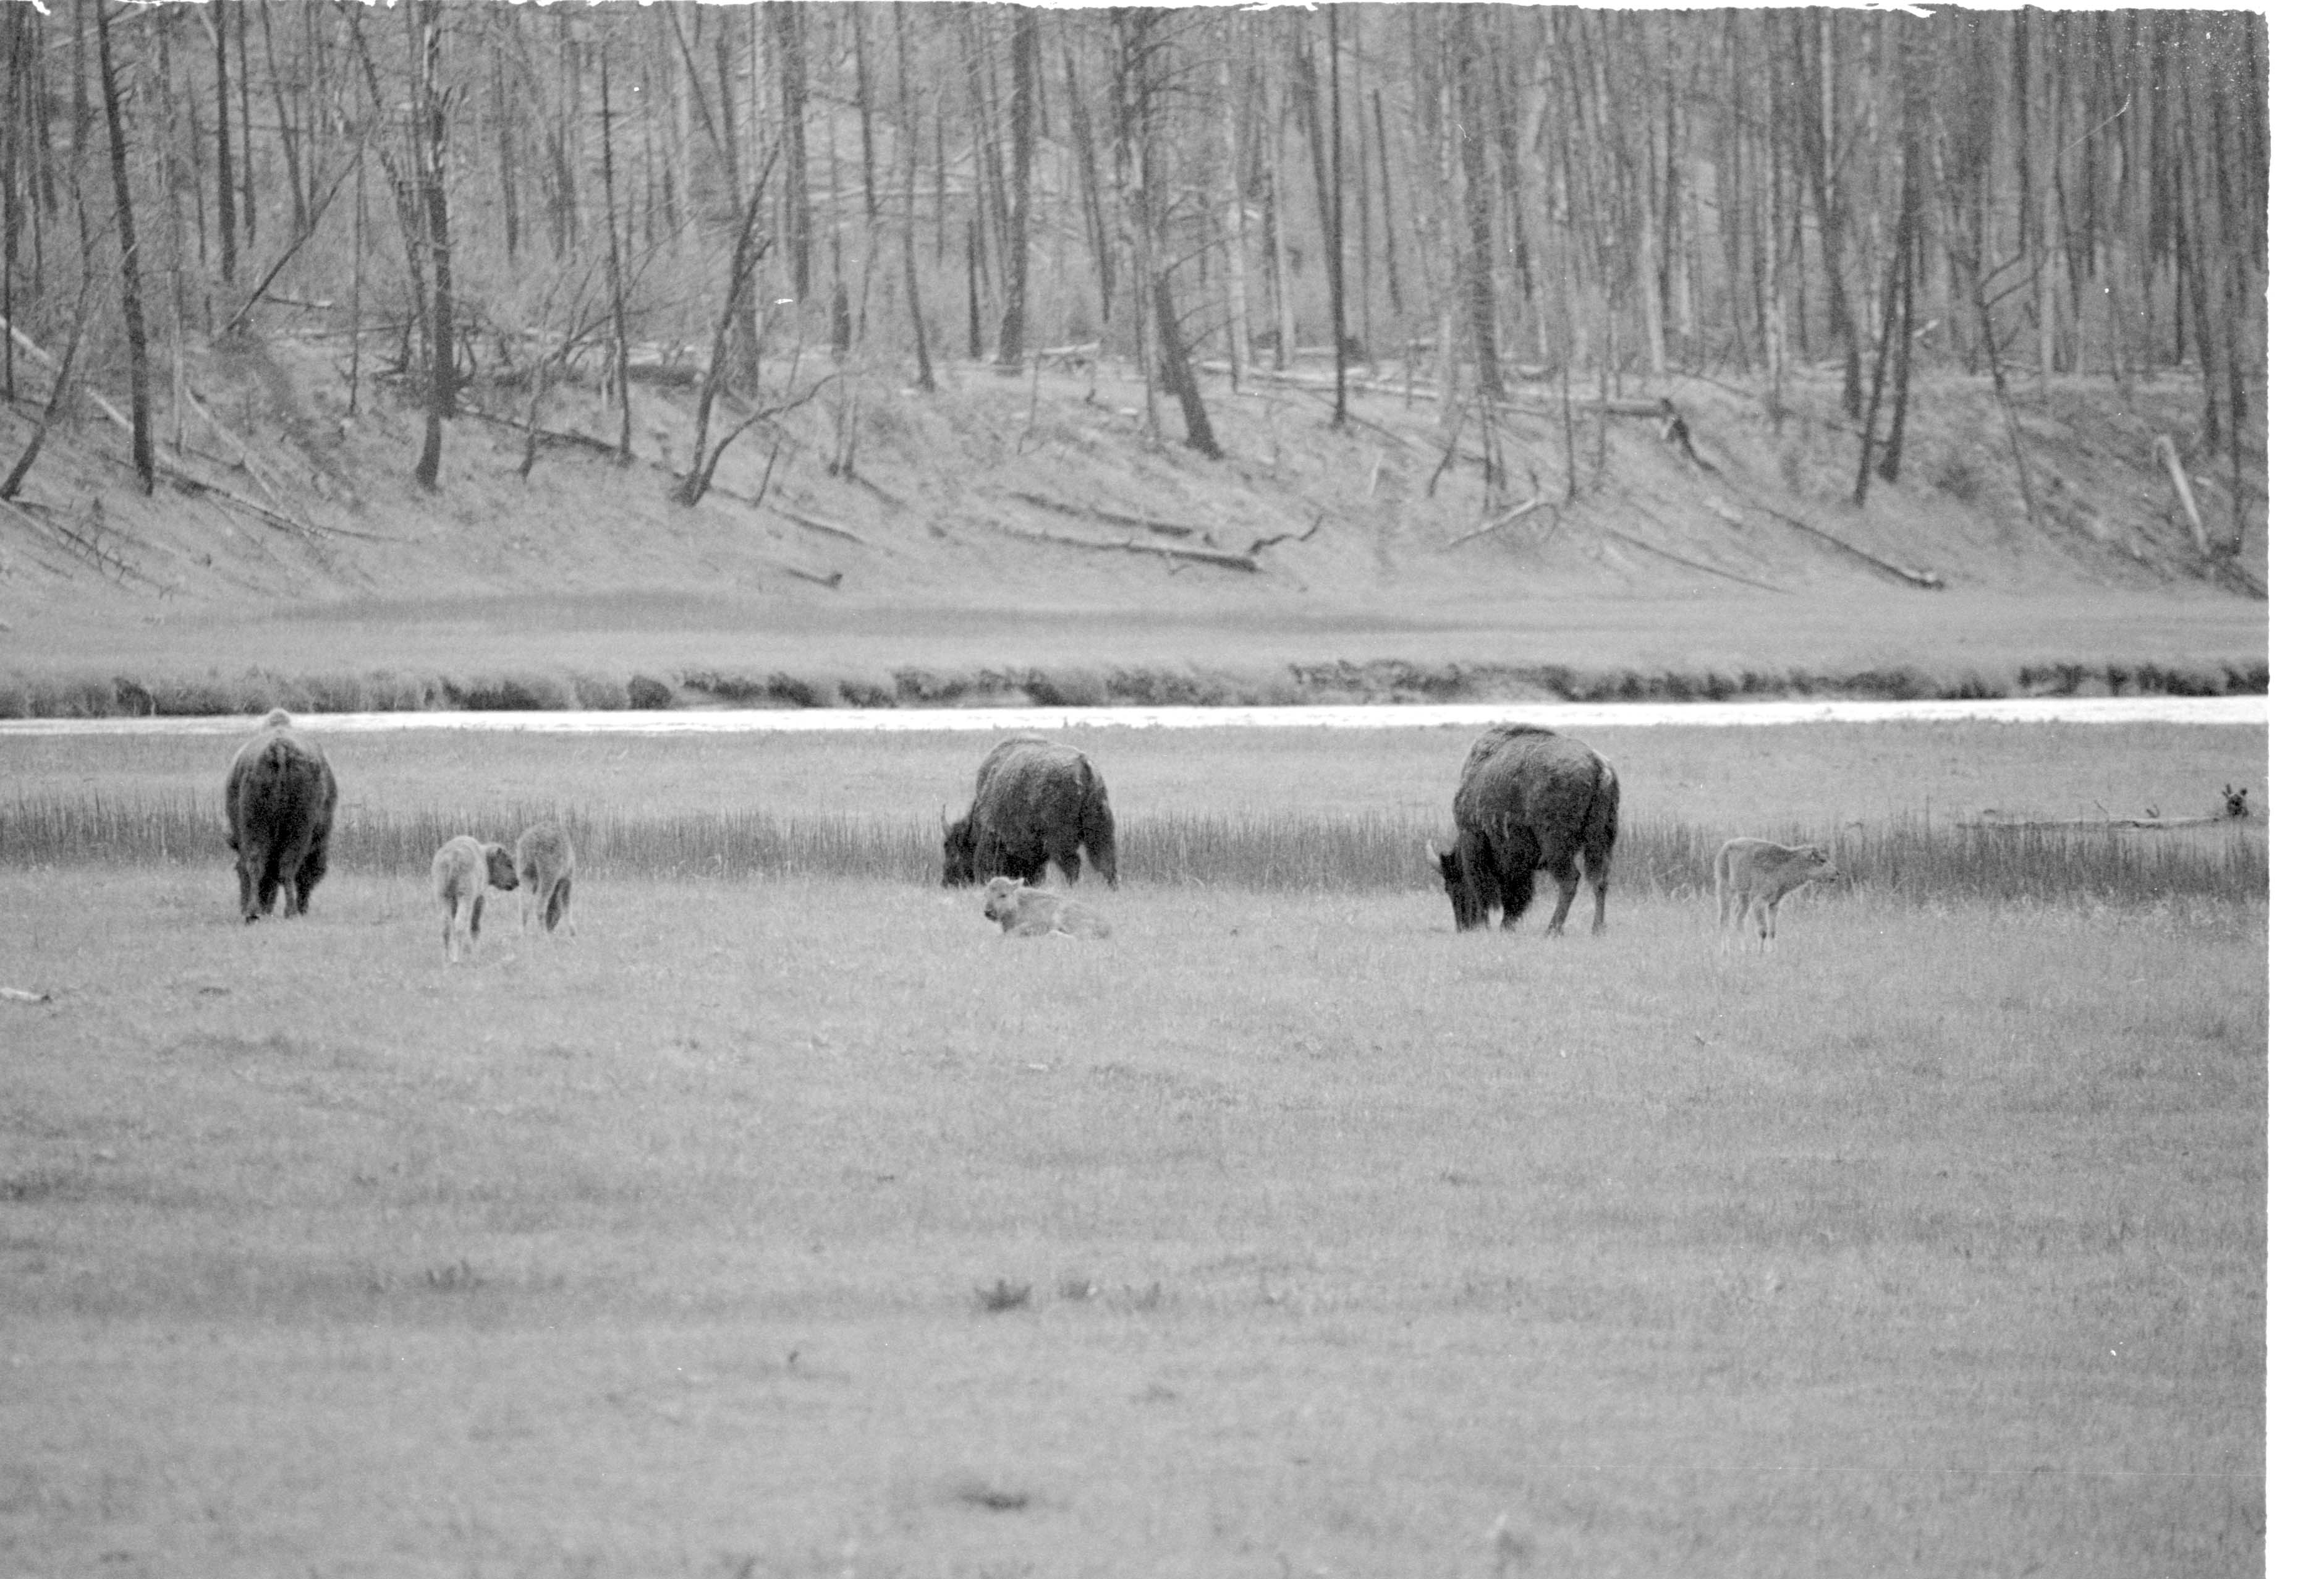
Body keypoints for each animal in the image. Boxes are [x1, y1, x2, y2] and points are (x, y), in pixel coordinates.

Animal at [223, 708, 339, 922]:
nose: (305, 908)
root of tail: (279, 748)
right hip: (297, 829)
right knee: (287, 867)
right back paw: (289, 911)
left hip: (256, 827)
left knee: (256, 863)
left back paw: (253, 913)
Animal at [942, 735, 1119, 888]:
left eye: (950, 848)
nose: (947, 882)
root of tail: (1084, 766)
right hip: (1100, 831)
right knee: (1106, 864)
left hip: (1060, 840)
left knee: (1073, 865)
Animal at [1430, 724, 1619, 935]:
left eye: (1453, 885)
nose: (1463, 927)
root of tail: (1599, 766)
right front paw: (1506, 926)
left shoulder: (1476, 840)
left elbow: (1486, 889)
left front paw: (1491, 925)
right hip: (1601, 842)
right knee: (1600, 880)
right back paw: (1597, 929)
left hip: (1556, 848)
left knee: (1570, 881)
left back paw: (1552, 931)